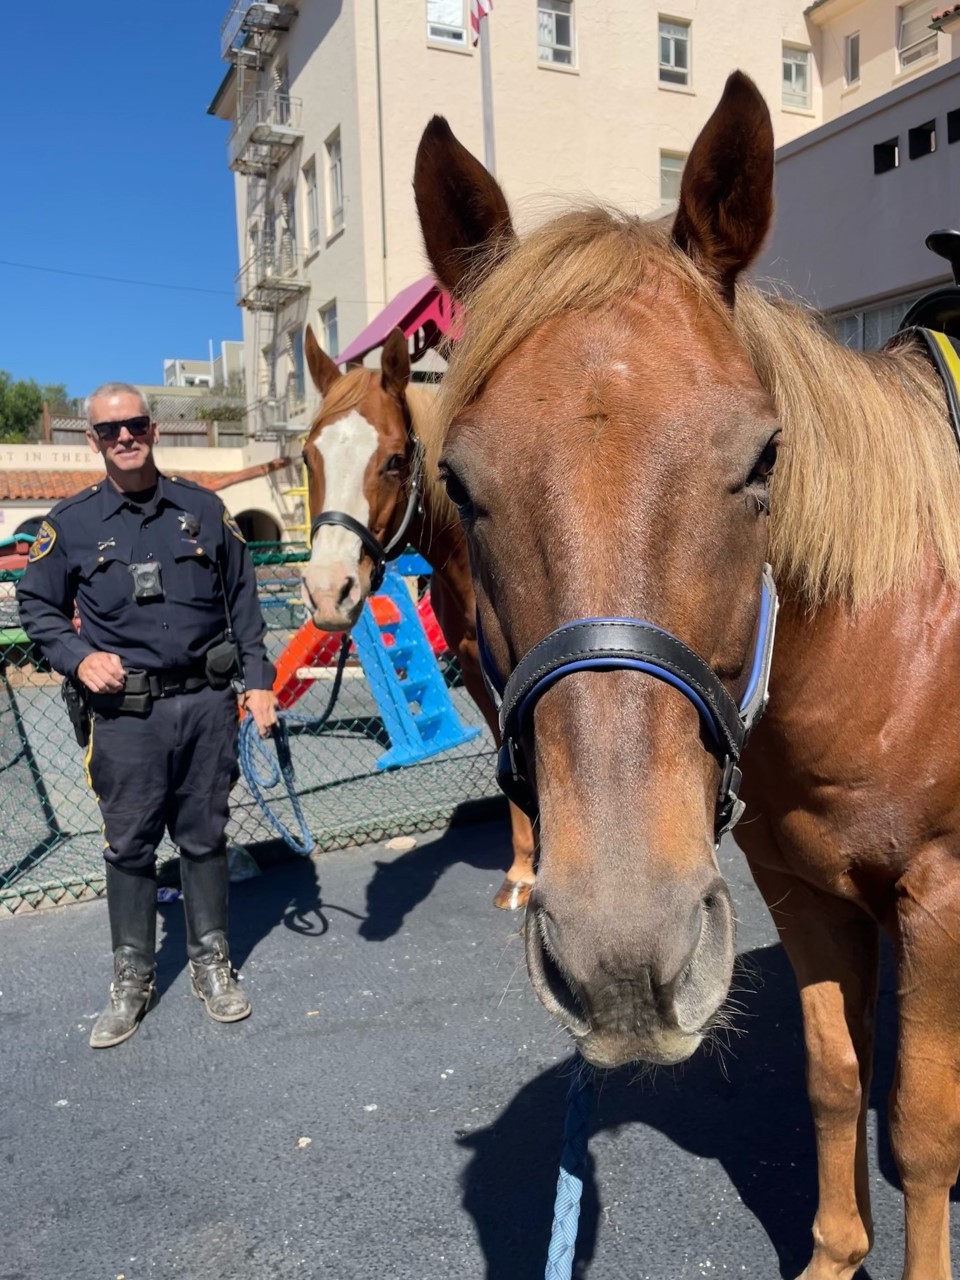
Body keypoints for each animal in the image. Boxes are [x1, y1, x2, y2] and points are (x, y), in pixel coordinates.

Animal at [417, 74, 960, 1280]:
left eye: (764, 458)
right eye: (459, 483)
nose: (622, 954)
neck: (890, 646)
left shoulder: (942, 896)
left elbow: (922, 1129)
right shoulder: (800, 891)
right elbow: (836, 1080)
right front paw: (835, 1257)